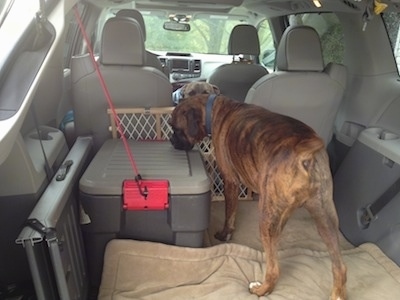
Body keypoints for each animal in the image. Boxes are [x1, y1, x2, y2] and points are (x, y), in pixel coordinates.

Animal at [169, 94, 346, 300]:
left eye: (175, 127)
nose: (171, 140)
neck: (214, 109)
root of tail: (306, 153)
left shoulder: (230, 180)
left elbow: (230, 212)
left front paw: (225, 233)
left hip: (267, 219)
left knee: (274, 268)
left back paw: (261, 289)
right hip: (326, 218)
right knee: (340, 266)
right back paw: (337, 293)